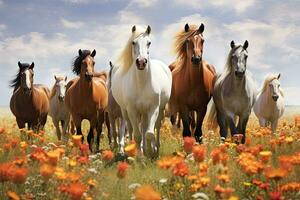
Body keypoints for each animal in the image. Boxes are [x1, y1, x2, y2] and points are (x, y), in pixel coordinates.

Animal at [110, 25, 172, 157]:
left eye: (149, 42)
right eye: (133, 42)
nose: (142, 62)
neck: (142, 83)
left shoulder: (153, 109)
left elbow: (149, 133)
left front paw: (150, 151)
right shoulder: (132, 110)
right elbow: (138, 135)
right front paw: (139, 155)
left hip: (157, 110)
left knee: (153, 127)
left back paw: (154, 148)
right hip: (125, 112)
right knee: (131, 128)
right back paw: (132, 149)